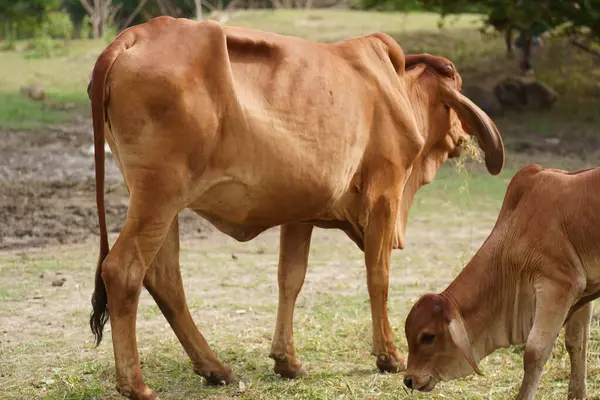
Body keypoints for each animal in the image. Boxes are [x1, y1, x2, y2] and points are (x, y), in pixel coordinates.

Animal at [86, 15, 504, 396]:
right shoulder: (385, 195)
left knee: (164, 278)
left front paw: (287, 361)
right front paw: (388, 355)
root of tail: (135, 35)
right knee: (124, 271)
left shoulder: (301, 212)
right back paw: (136, 385)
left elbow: (291, 278)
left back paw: (215, 368)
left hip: (161, 203)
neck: (397, 91)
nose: (463, 136)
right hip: (160, 195)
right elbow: (378, 277)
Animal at [404, 163, 600, 400]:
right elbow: (576, 342)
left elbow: (535, 352)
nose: (408, 379)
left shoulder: (558, 285)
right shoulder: (584, 291)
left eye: (427, 337)